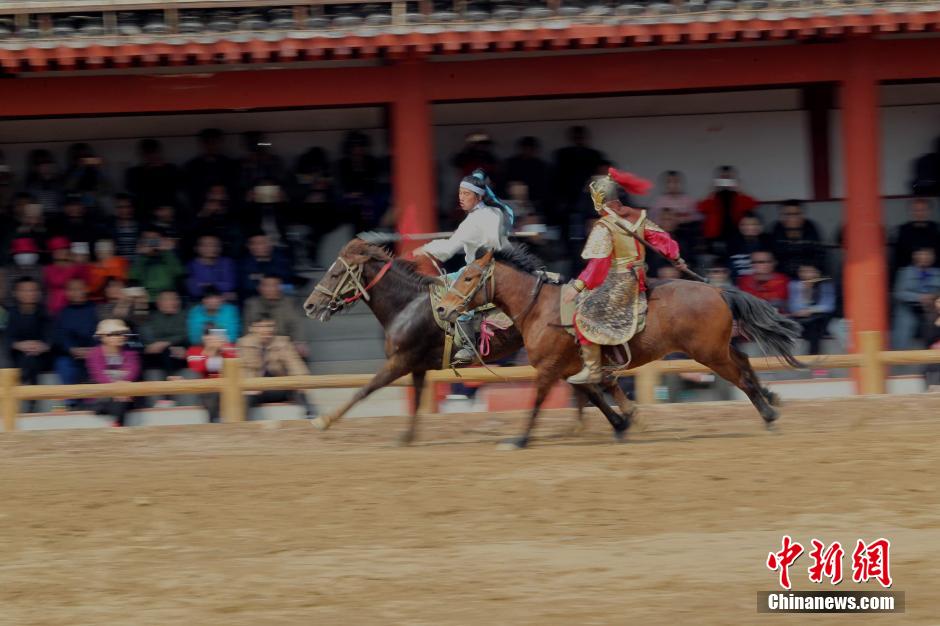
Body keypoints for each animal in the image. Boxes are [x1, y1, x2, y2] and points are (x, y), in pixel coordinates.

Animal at [304, 239, 636, 444]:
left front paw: (324, 420)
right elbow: (416, 400)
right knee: (589, 385)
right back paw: (607, 422)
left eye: (335, 273)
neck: (407, 305)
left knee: (593, 383)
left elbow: (364, 390)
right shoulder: (417, 366)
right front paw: (407, 437)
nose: (309, 305)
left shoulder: (400, 361)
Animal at [436, 245, 804, 448]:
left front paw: (520, 440)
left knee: (740, 377)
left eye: (468, 277)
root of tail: (717, 289)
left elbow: (538, 403)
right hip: (716, 349)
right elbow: (599, 397)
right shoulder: (574, 370)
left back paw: (769, 414)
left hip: (709, 354)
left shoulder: (549, 370)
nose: (443, 309)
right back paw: (771, 398)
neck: (542, 309)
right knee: (743, 360)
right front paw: (623, 423)